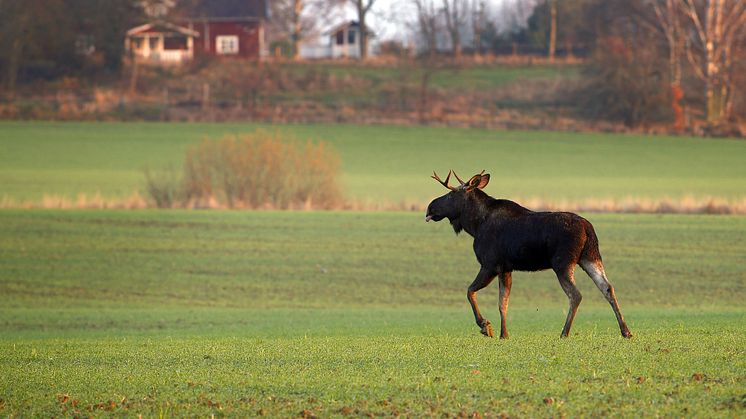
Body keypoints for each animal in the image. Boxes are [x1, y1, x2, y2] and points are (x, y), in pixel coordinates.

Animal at [424, 170, 628, 338]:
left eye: (451, 193)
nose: (430, 207)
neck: (475, 225)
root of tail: (588, 229)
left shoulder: (490, 264)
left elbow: (470, 291)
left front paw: (485, 326)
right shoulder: (506, 268)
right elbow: (503, 303)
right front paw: (504, 334)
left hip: (562, 262)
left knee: (576, 295)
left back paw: (564, 333)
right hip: (590, 257)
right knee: (607, 288)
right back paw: (625, 331)